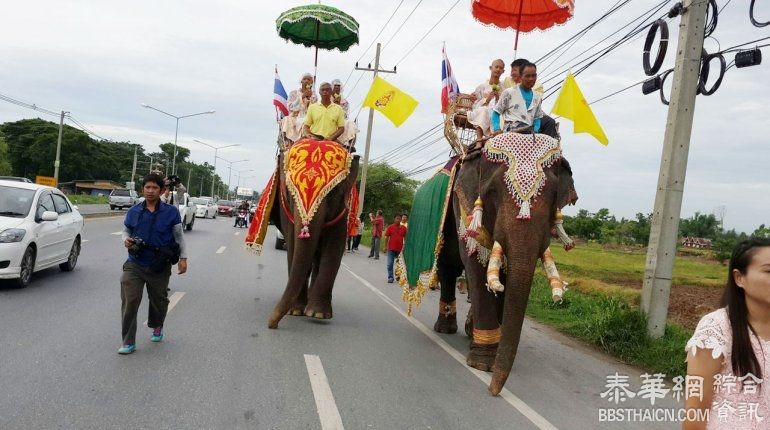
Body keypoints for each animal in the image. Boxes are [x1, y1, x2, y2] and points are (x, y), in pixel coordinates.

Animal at [246, 139, 360, 328]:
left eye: (334, 192)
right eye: (290, 193)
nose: (272, 325)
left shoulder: (343, 209)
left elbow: (335, 247)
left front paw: (319, 314)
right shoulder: (286, 210)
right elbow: (293, 244)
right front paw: (295, 311)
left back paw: (311, 309)